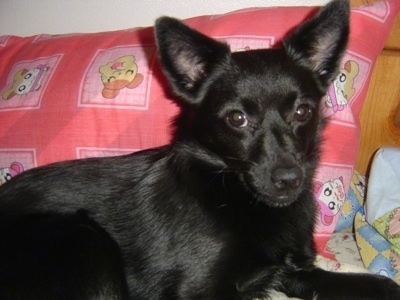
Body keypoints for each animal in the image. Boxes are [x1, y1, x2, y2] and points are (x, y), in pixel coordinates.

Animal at [0, 1, 400, 298]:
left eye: (303, 112)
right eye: (237, 118)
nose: (290, 180)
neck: (232, 191)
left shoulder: (296, 272)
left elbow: (373, 284)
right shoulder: (199, 291)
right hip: (84, 240)